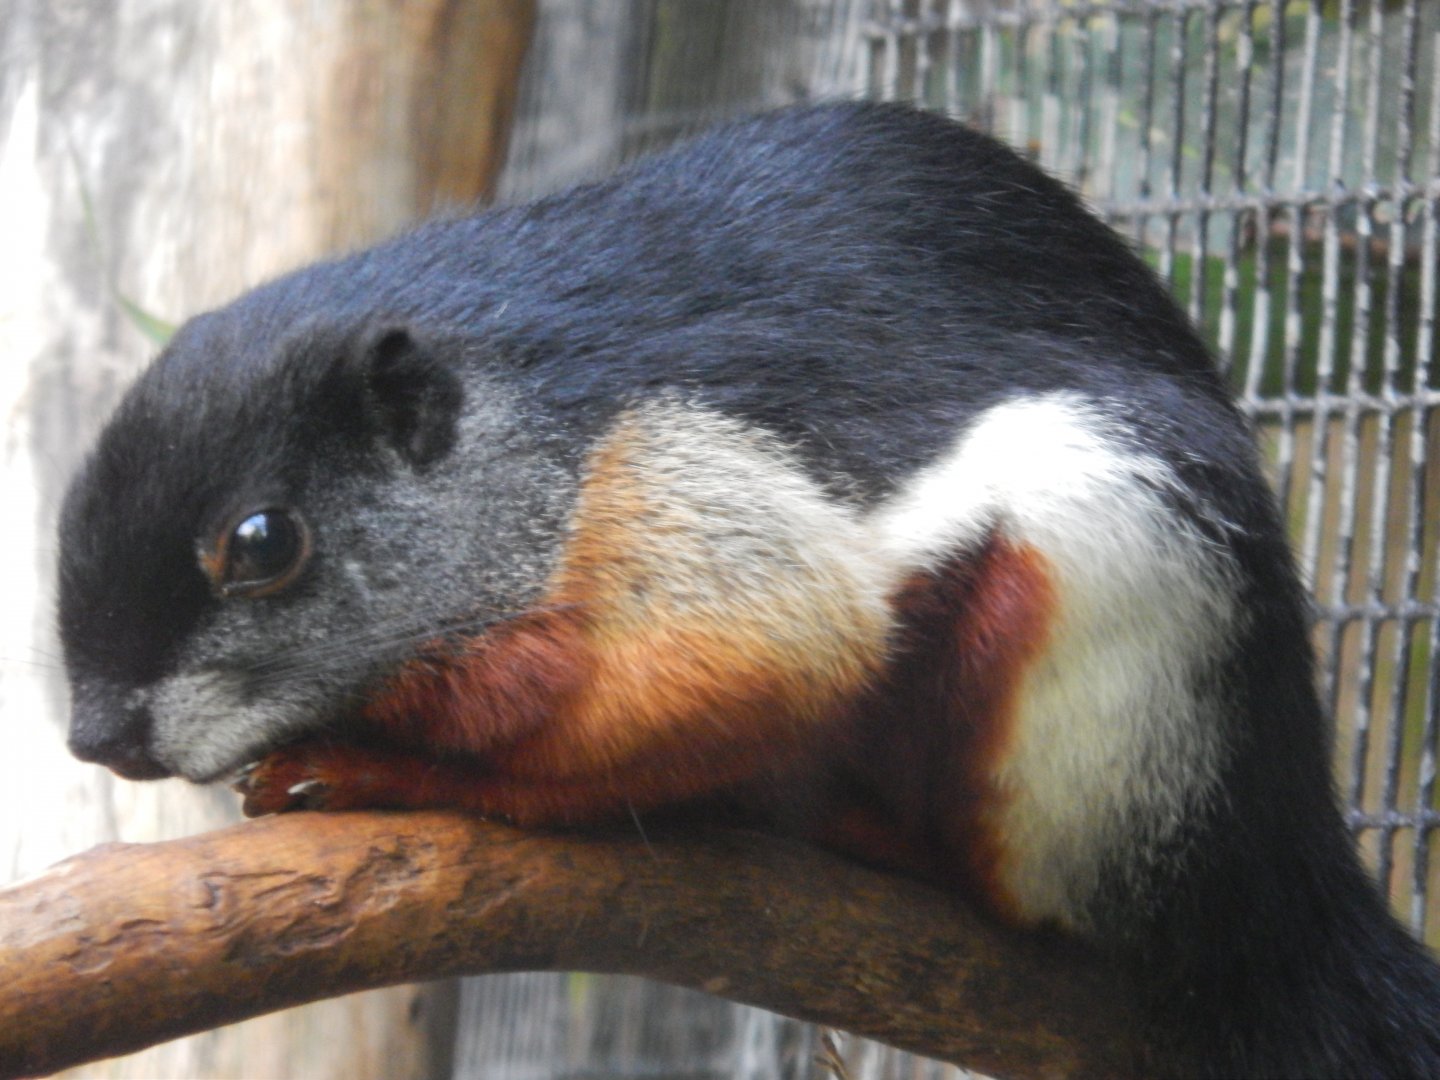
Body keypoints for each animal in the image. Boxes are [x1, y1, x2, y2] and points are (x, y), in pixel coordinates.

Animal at [58, 102, 1440, 1077]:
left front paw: (389, 768)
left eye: (261, 541)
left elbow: (758, 671)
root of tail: (1288, 869)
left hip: (1110, 598)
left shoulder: (686, 489)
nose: (95, 735)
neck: (522, 421)